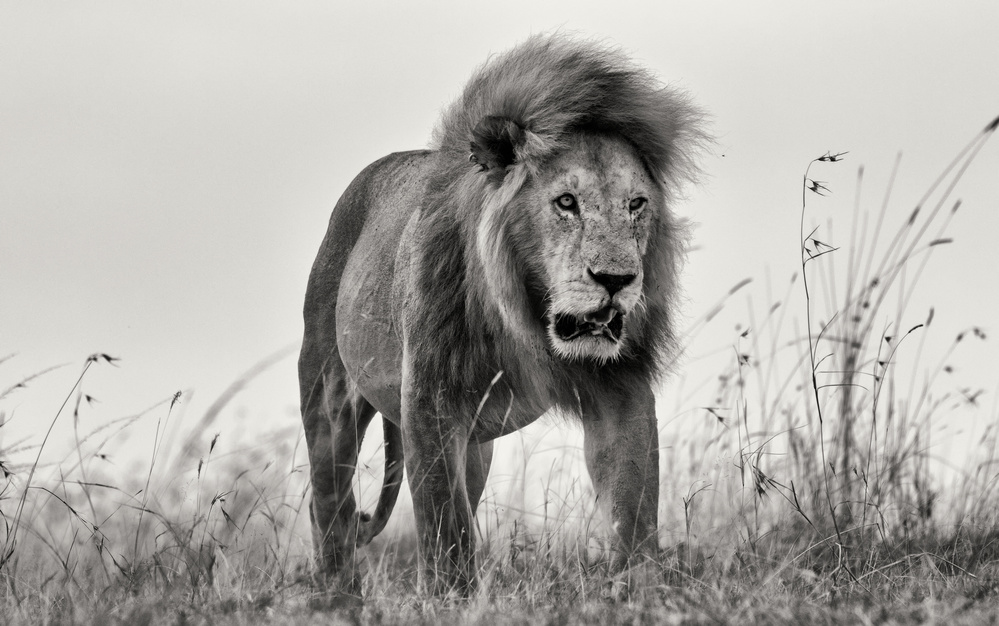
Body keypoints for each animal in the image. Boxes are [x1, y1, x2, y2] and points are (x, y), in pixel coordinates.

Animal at [298, 35, 707, 595]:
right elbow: (442, 523)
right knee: (330, 508)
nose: (617, 280)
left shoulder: (620, 387)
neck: (526, 311)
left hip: (477, 444)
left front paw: (638, 589)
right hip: (328, 392)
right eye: (566, 202)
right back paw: (337, 594)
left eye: (636, 205)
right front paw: (450, 598)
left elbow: (633, 506)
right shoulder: (430, 396)